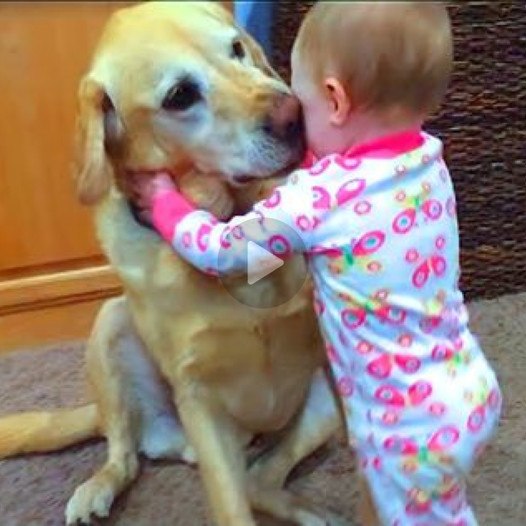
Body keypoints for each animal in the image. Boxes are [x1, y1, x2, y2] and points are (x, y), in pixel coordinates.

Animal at [0, 2, 346, 524]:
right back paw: (97, 487)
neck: (231, 217)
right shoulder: (198, 397)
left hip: (317, 411)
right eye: (180, 96)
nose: (295, 116)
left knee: (260, 479)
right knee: (126, 453)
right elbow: (229, 506)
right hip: (111, 325)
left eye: (237, 47)